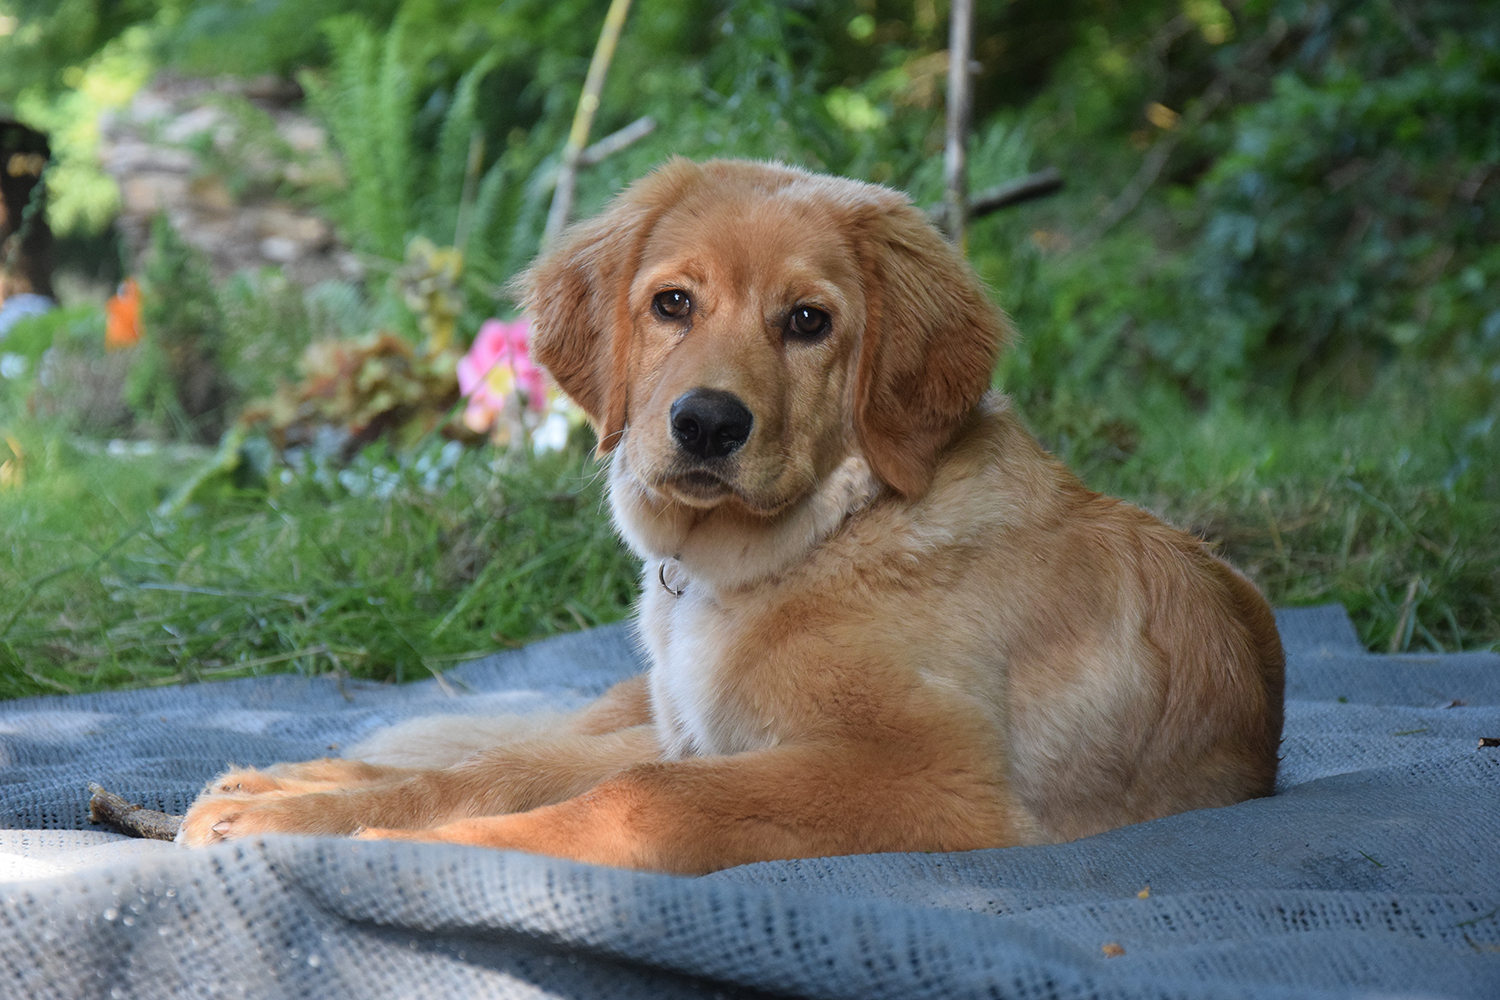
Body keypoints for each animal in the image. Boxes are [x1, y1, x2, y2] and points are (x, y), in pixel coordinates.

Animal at [178, 159, 1285, 874]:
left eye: (809, 322)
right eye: (672, 303)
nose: (707, 423)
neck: (815, 542)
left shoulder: (929, 775)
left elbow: (633, 796)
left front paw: (401, 852)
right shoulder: (699, 738)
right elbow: (504, 770)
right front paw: (315, 819)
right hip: (638, 707)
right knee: (502, 740)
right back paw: (279, 785)